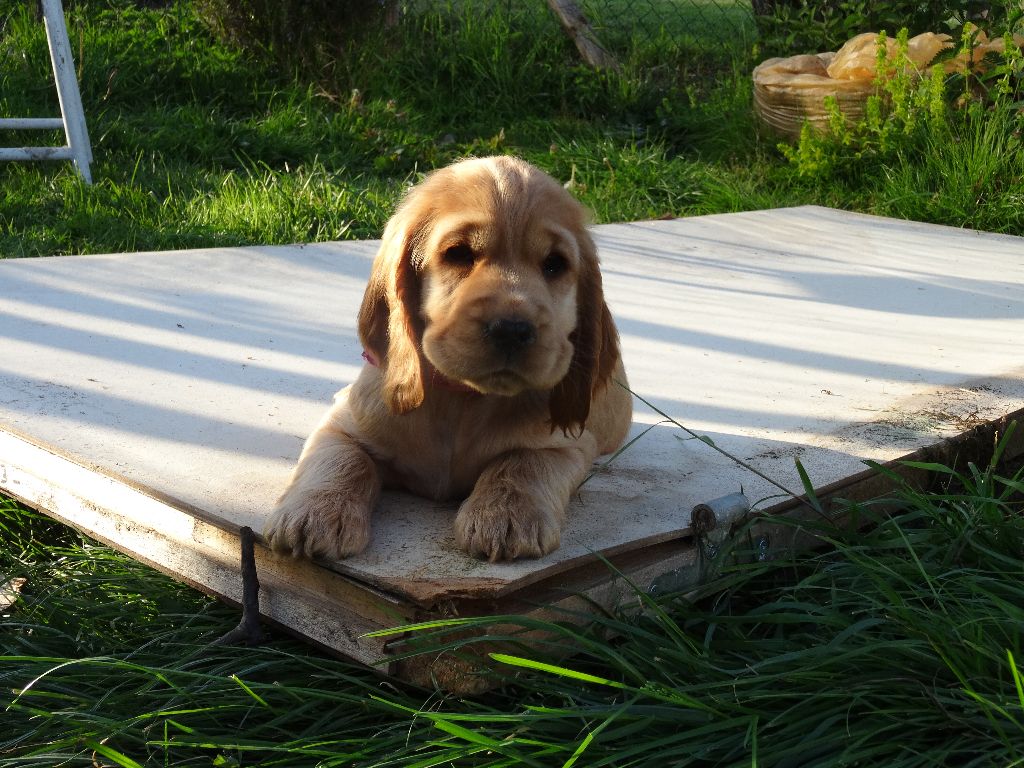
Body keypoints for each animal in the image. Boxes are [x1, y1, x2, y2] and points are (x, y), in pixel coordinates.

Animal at [264, 156, 631, 562]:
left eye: (554, 264)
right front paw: (314, 513)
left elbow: (523, 463)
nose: (512, 330)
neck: (461, 400)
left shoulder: (569, 445)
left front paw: (506, 516)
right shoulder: (344, 421)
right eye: (458, 254)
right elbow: (342, 457)